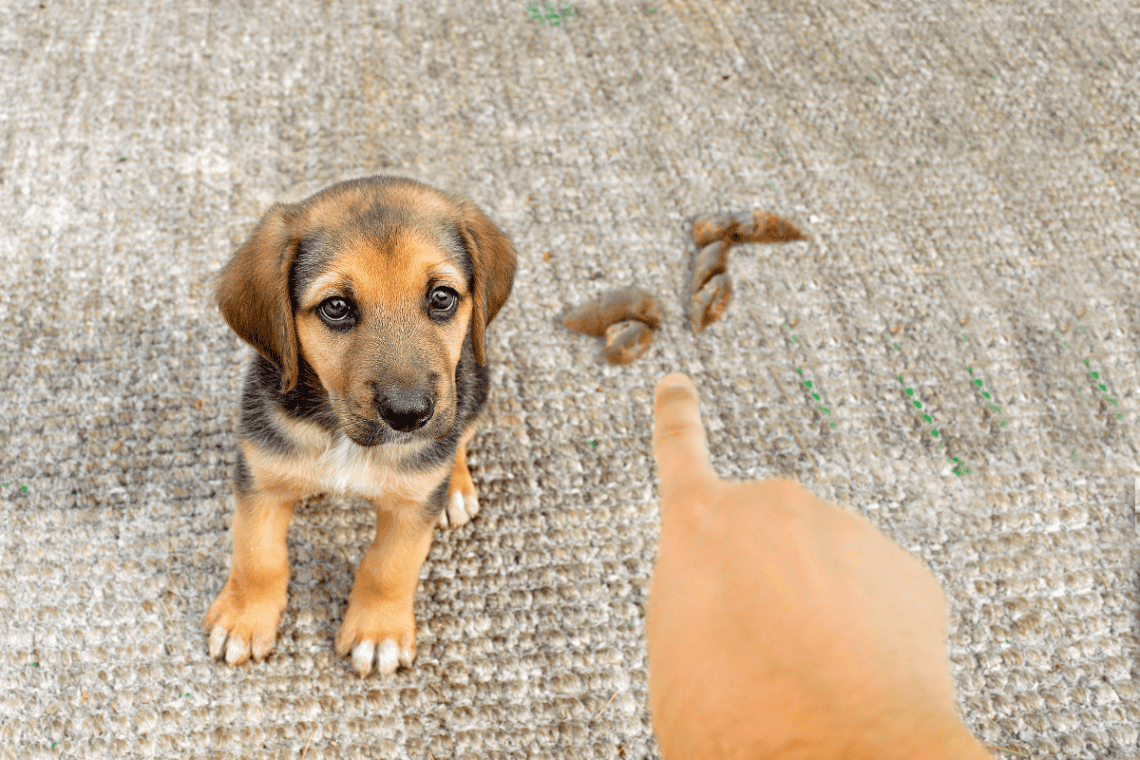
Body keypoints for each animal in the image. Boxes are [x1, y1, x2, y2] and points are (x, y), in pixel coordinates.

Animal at [207, 174, 519, 679]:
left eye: (442, 297)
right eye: (336, 307)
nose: (409, 414)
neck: (341, 433)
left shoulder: (411, 507)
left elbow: (388, 568)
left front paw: (378, 632)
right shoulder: (261, 479)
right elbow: (258, 557)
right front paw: (243, 618)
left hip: (475, 386)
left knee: (459, 438)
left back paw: (455, 488)